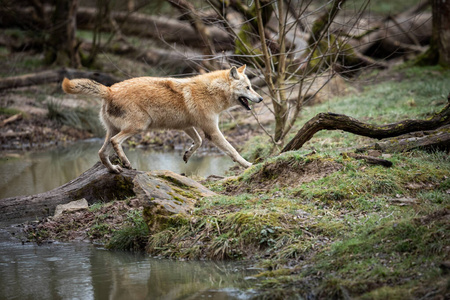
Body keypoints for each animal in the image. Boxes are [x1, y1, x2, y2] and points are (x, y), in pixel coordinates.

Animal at [61, 65, 262, 173]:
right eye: (248, 87)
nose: (260, 99)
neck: (211, 92)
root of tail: (109, 90)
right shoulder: (212, 131)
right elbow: (233, 151)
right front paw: (248, 164)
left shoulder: (187, 127)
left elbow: (197, 143)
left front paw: (187, 154)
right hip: (138, 127)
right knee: (115, 142)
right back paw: (126, 163)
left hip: (114, 130)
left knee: (101, 153)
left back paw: (115, 169)